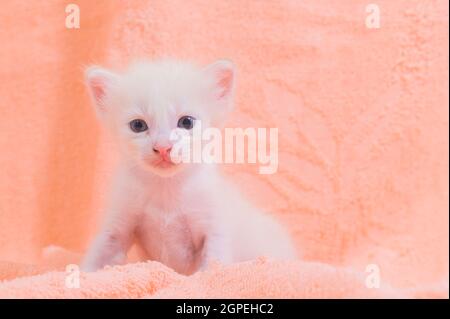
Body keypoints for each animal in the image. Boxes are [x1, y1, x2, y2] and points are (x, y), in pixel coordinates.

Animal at [82, 58, 298, 274]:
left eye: (186, 122)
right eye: (138, 125)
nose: (163, 147)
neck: (166, 188)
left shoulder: (214, 226)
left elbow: (212, 264)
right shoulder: (119, 223)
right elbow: (101, 254)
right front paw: (85, 272)